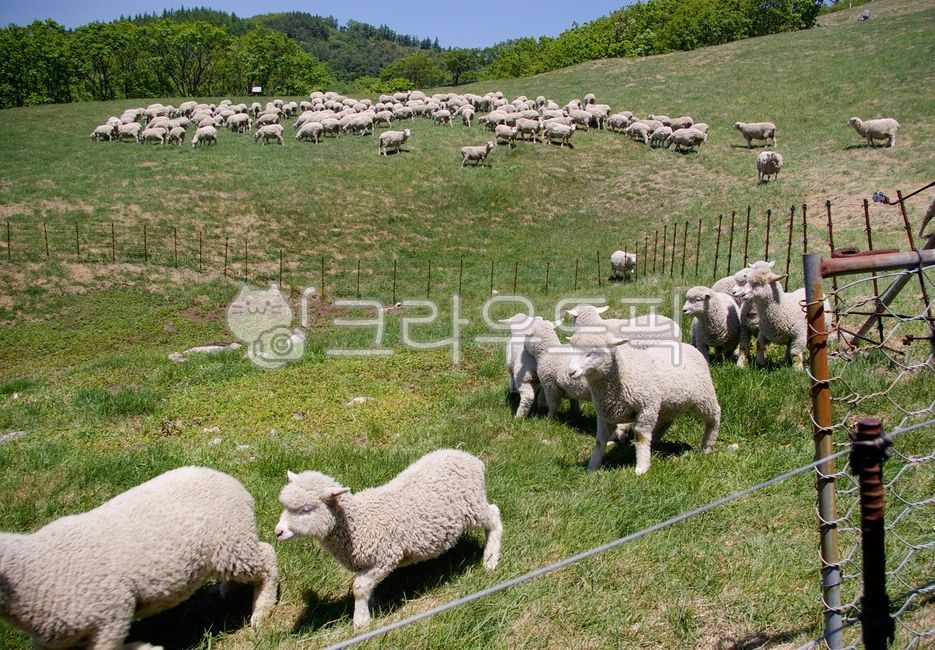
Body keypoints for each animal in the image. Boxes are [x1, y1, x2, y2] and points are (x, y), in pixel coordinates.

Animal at [0, 467, 279, 648]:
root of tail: (233, 483)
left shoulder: (112, 614)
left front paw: (145, 647)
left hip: (232, 542)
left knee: (267, 557)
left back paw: (261, 610)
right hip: (227, 549)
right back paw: (228, 590)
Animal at [275, 449, 502, 629]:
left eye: (306, 509)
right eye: (285, 506)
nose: (278, 531)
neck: (358, 524)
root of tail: (470, 458)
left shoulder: (386, 557)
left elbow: (359, 588)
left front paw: (361, 621)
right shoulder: (367, 563)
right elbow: (366, 587)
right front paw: (372, 604)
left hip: (472, 505)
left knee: (494, 517)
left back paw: (490, 559)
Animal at [567, 331, 721, 474]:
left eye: (591, 353)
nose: (571, 372)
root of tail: (689, 346)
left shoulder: (646, 407)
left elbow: (641, 437)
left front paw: (641, 468)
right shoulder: (604, 414)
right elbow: (600, 441)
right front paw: (592, 467)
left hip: (704, 397)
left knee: (714, 416)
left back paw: (707, 446)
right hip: (669, 404)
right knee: (665, 422)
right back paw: (655, 441)